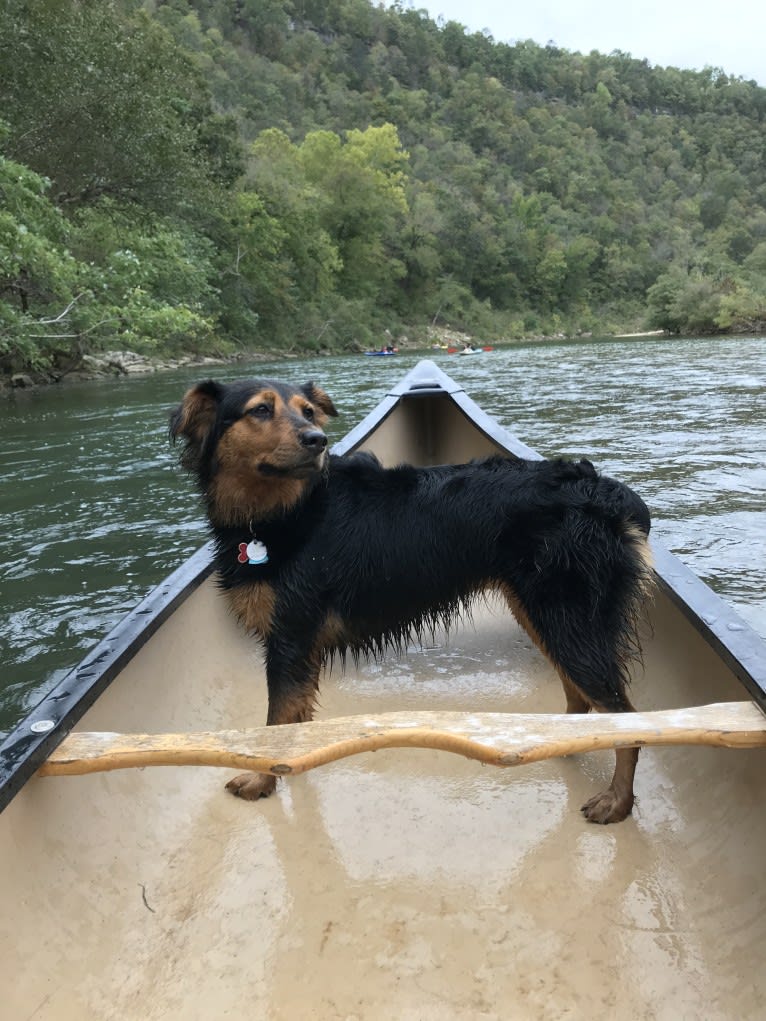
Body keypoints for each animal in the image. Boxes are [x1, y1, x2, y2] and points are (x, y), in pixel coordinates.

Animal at [169, 379, 653, 824]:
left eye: (308, 412)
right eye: (260, 410)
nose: (317, 440)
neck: (289, 509)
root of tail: (604, 491)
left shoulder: (290, 635)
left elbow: (275, 724)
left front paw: (261, 781)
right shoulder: (298, 646)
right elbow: (293, 722)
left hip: (566, 616)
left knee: (627, 717)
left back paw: (618, 802)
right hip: (546, 615)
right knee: (585, 699)